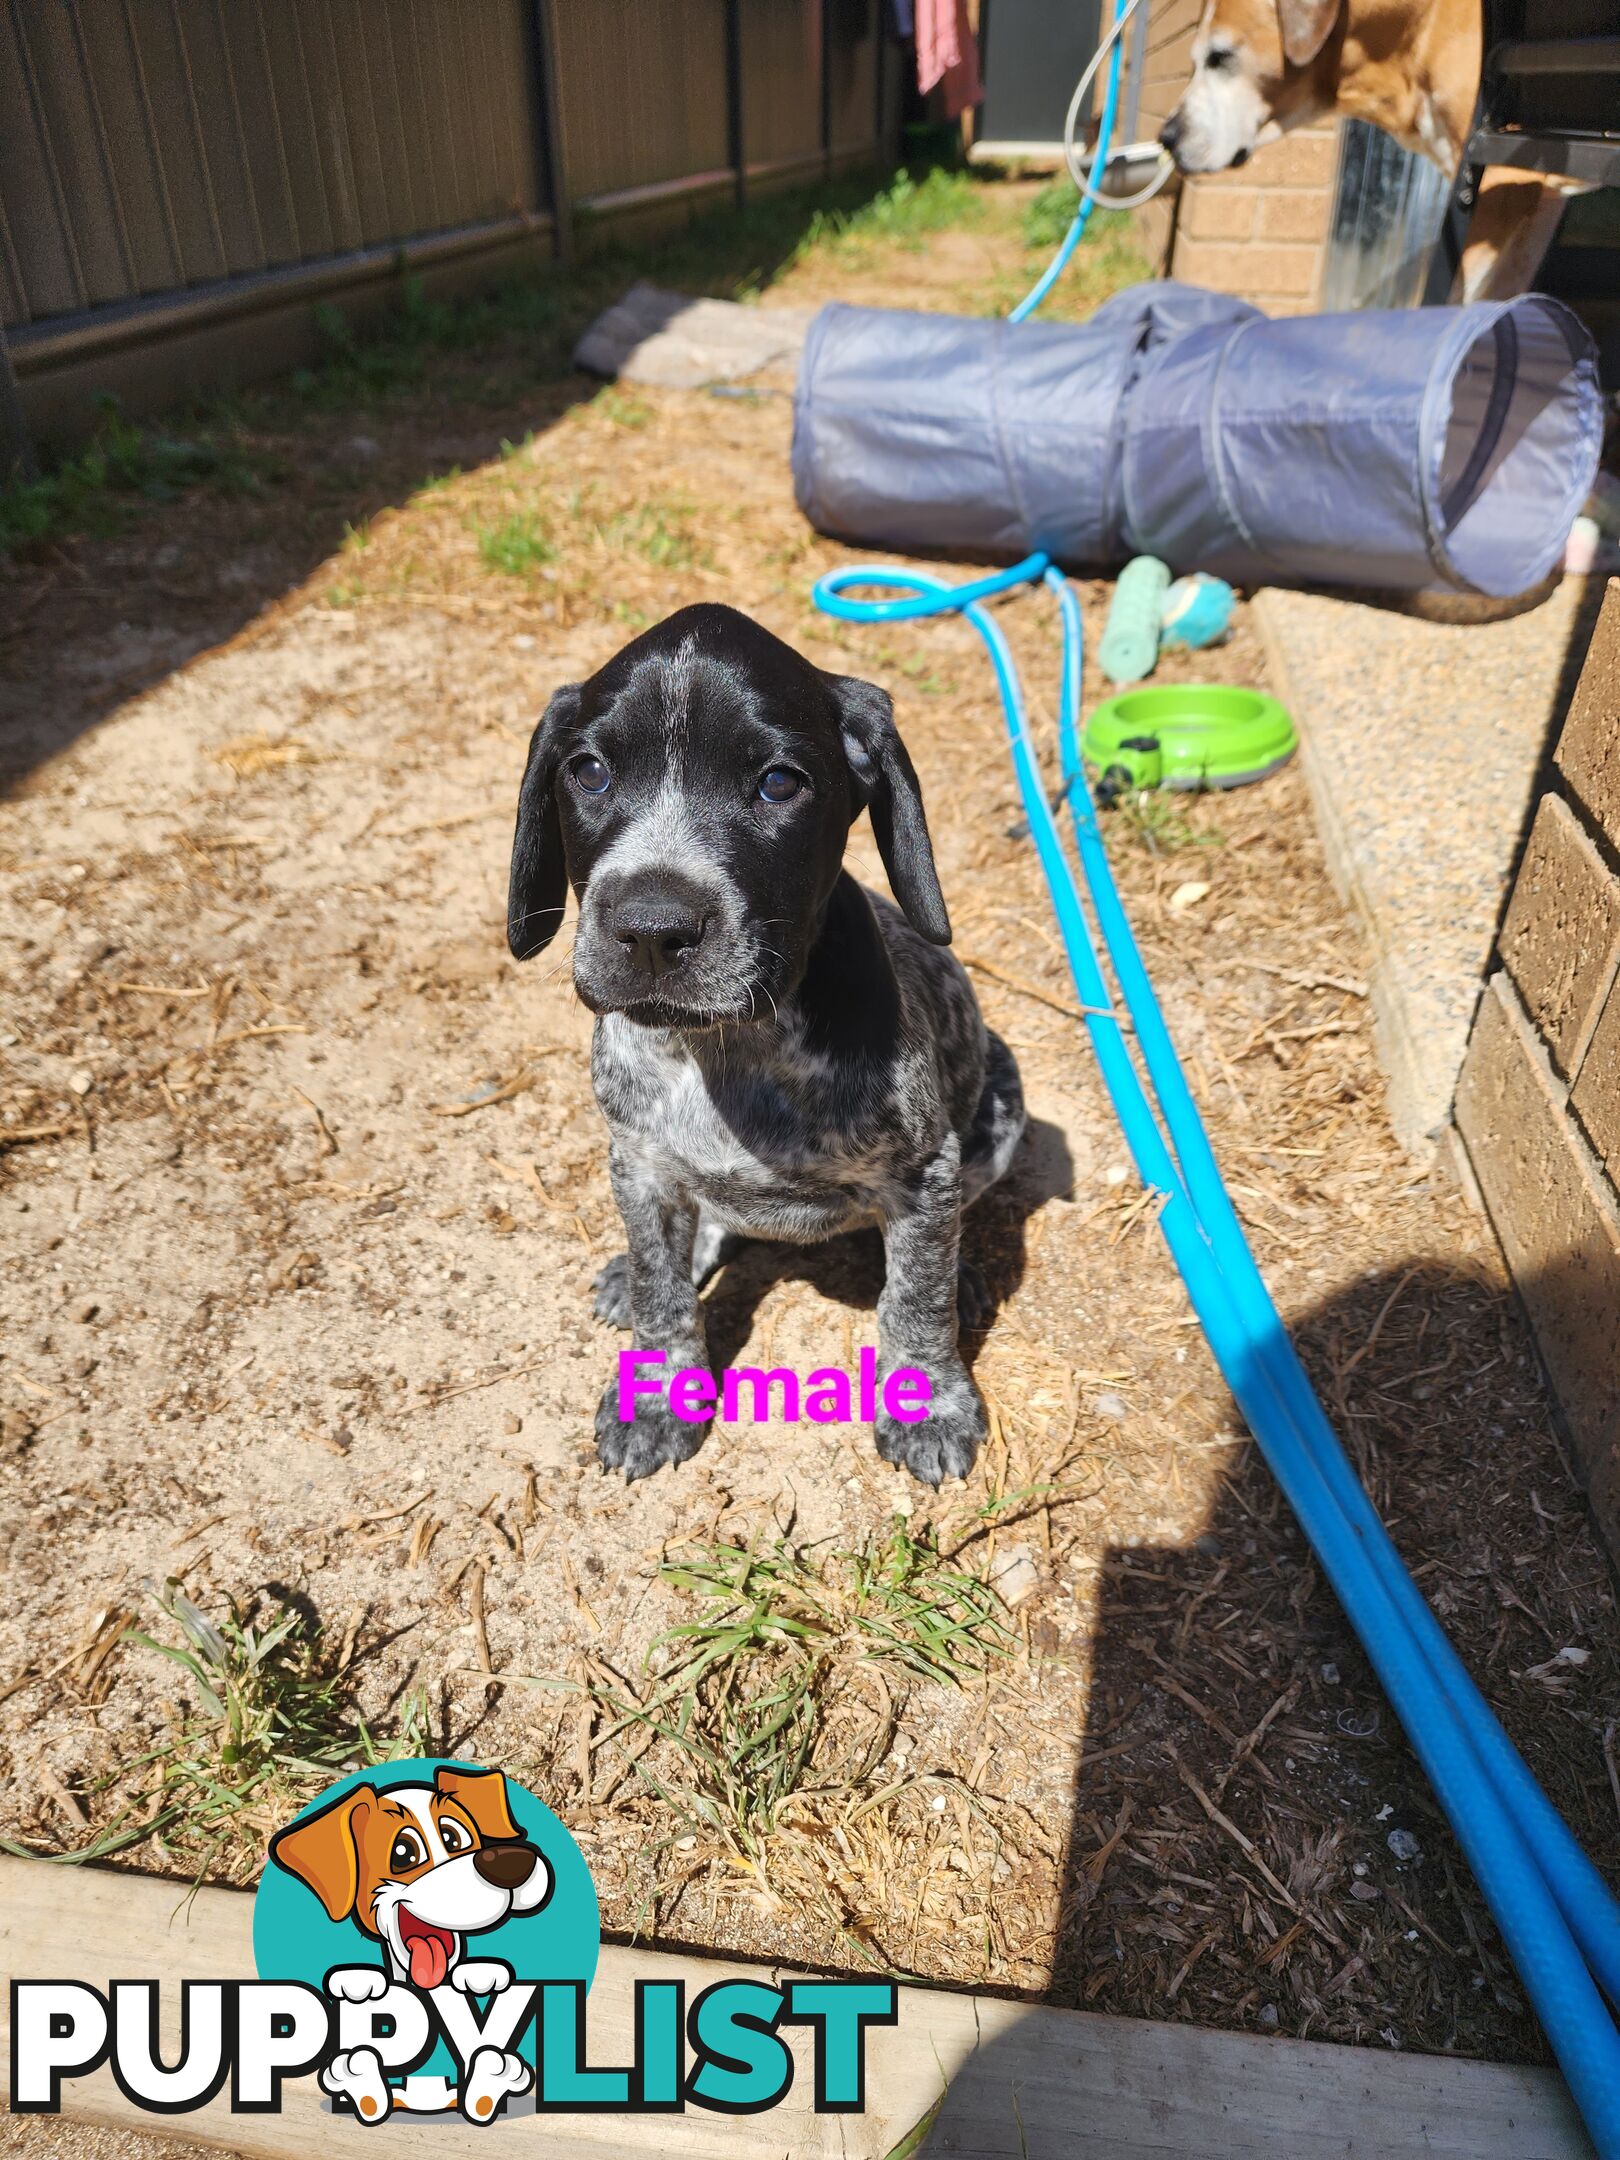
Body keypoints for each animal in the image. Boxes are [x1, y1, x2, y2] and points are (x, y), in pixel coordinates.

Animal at [507, 609, 1028, 1486]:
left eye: (779, 785)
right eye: (589, 772)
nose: (651, 929)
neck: (728, 1048)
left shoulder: (926, 1169)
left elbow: (914, 1300)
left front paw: (926, 1400)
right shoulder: (638, 1162)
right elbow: (662, 1292)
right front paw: (656, 1394)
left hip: (1001, 1106)